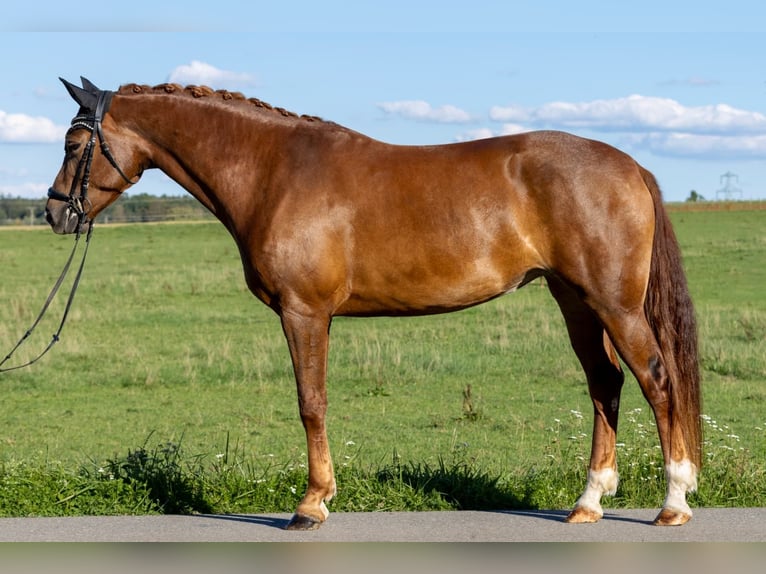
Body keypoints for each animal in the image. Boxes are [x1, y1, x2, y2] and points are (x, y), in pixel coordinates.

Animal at [45, 77, 702, 531]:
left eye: (75, 143)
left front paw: (311, 505)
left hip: (613, 305)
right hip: (575, 302)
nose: (56, 213)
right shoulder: (318, 318)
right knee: (605, 384)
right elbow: (316, 402)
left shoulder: (304, 313)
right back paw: (588, 502)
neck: (273, 170)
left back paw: (673, 501)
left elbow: (311, 404)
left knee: (656, 379)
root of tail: (629, 165)